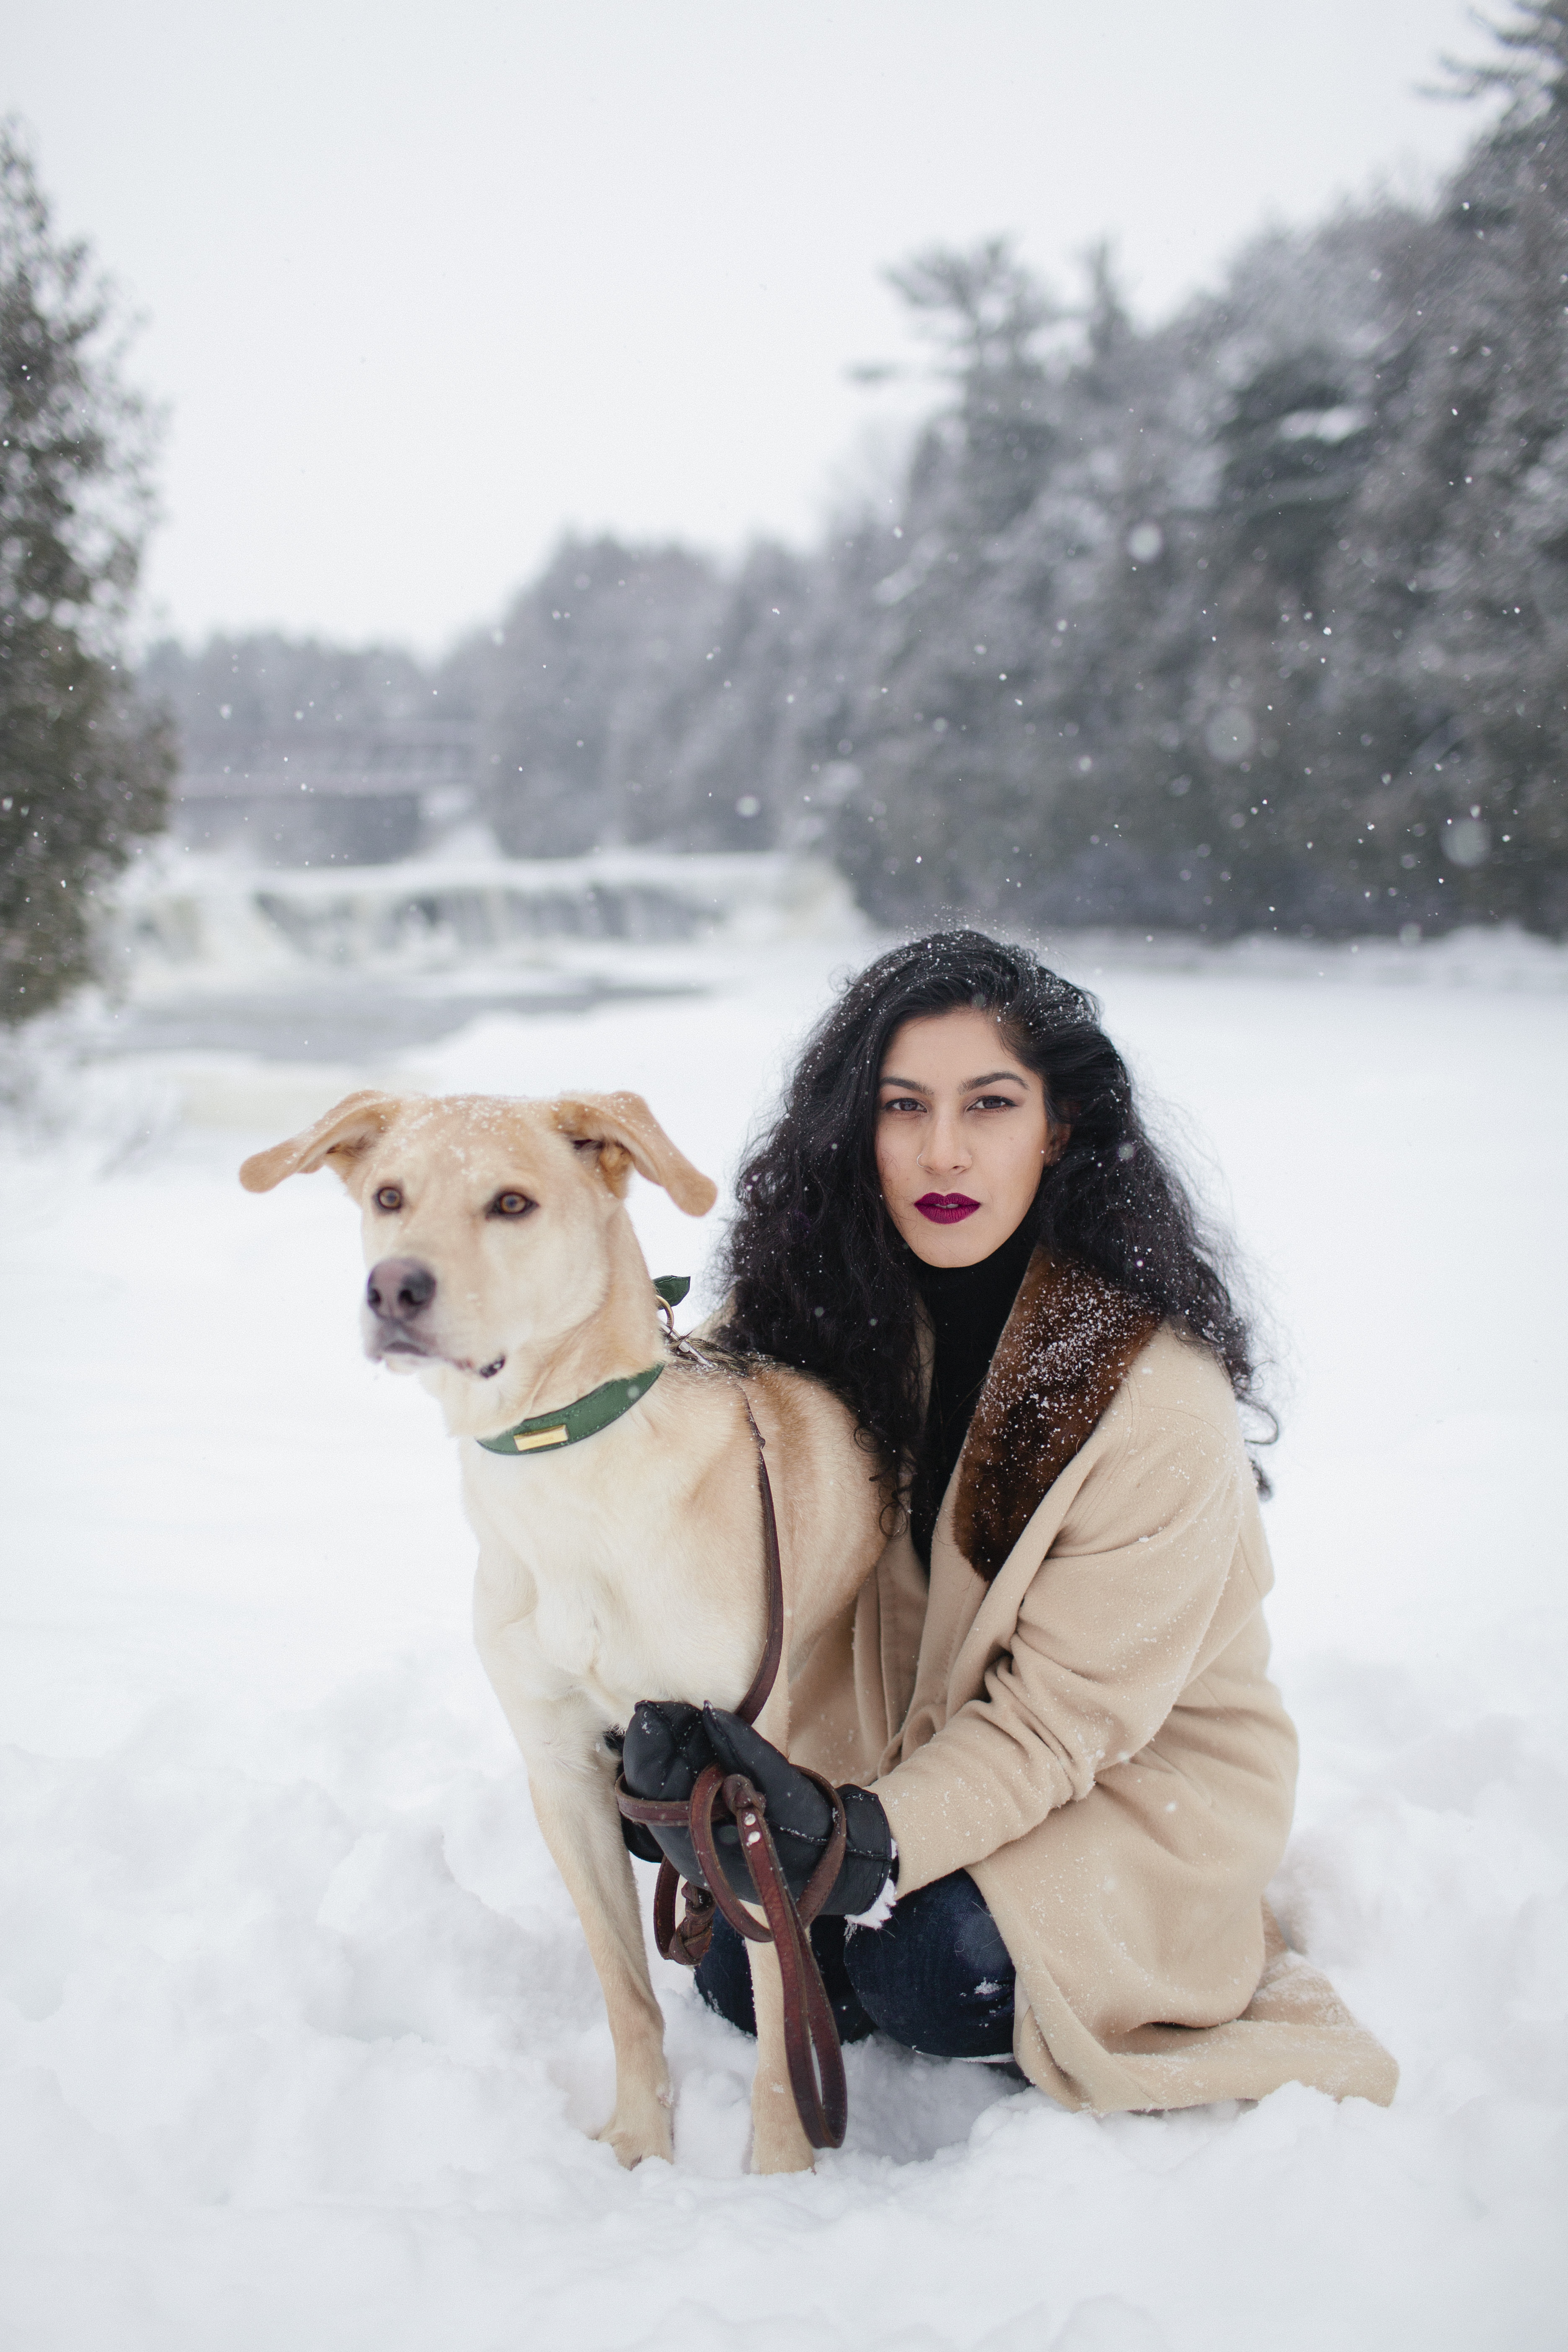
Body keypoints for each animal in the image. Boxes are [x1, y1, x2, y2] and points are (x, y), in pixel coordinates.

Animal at [241, 1091, 888, 2173]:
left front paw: (780, 2171)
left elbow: (777, 2015)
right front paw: (638, 2145)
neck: (568, 1468)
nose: (393, 1286)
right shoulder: (567, 1770)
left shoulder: (747, 1788)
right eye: (389, 1196)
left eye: (511, 1203)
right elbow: (627, 1997)